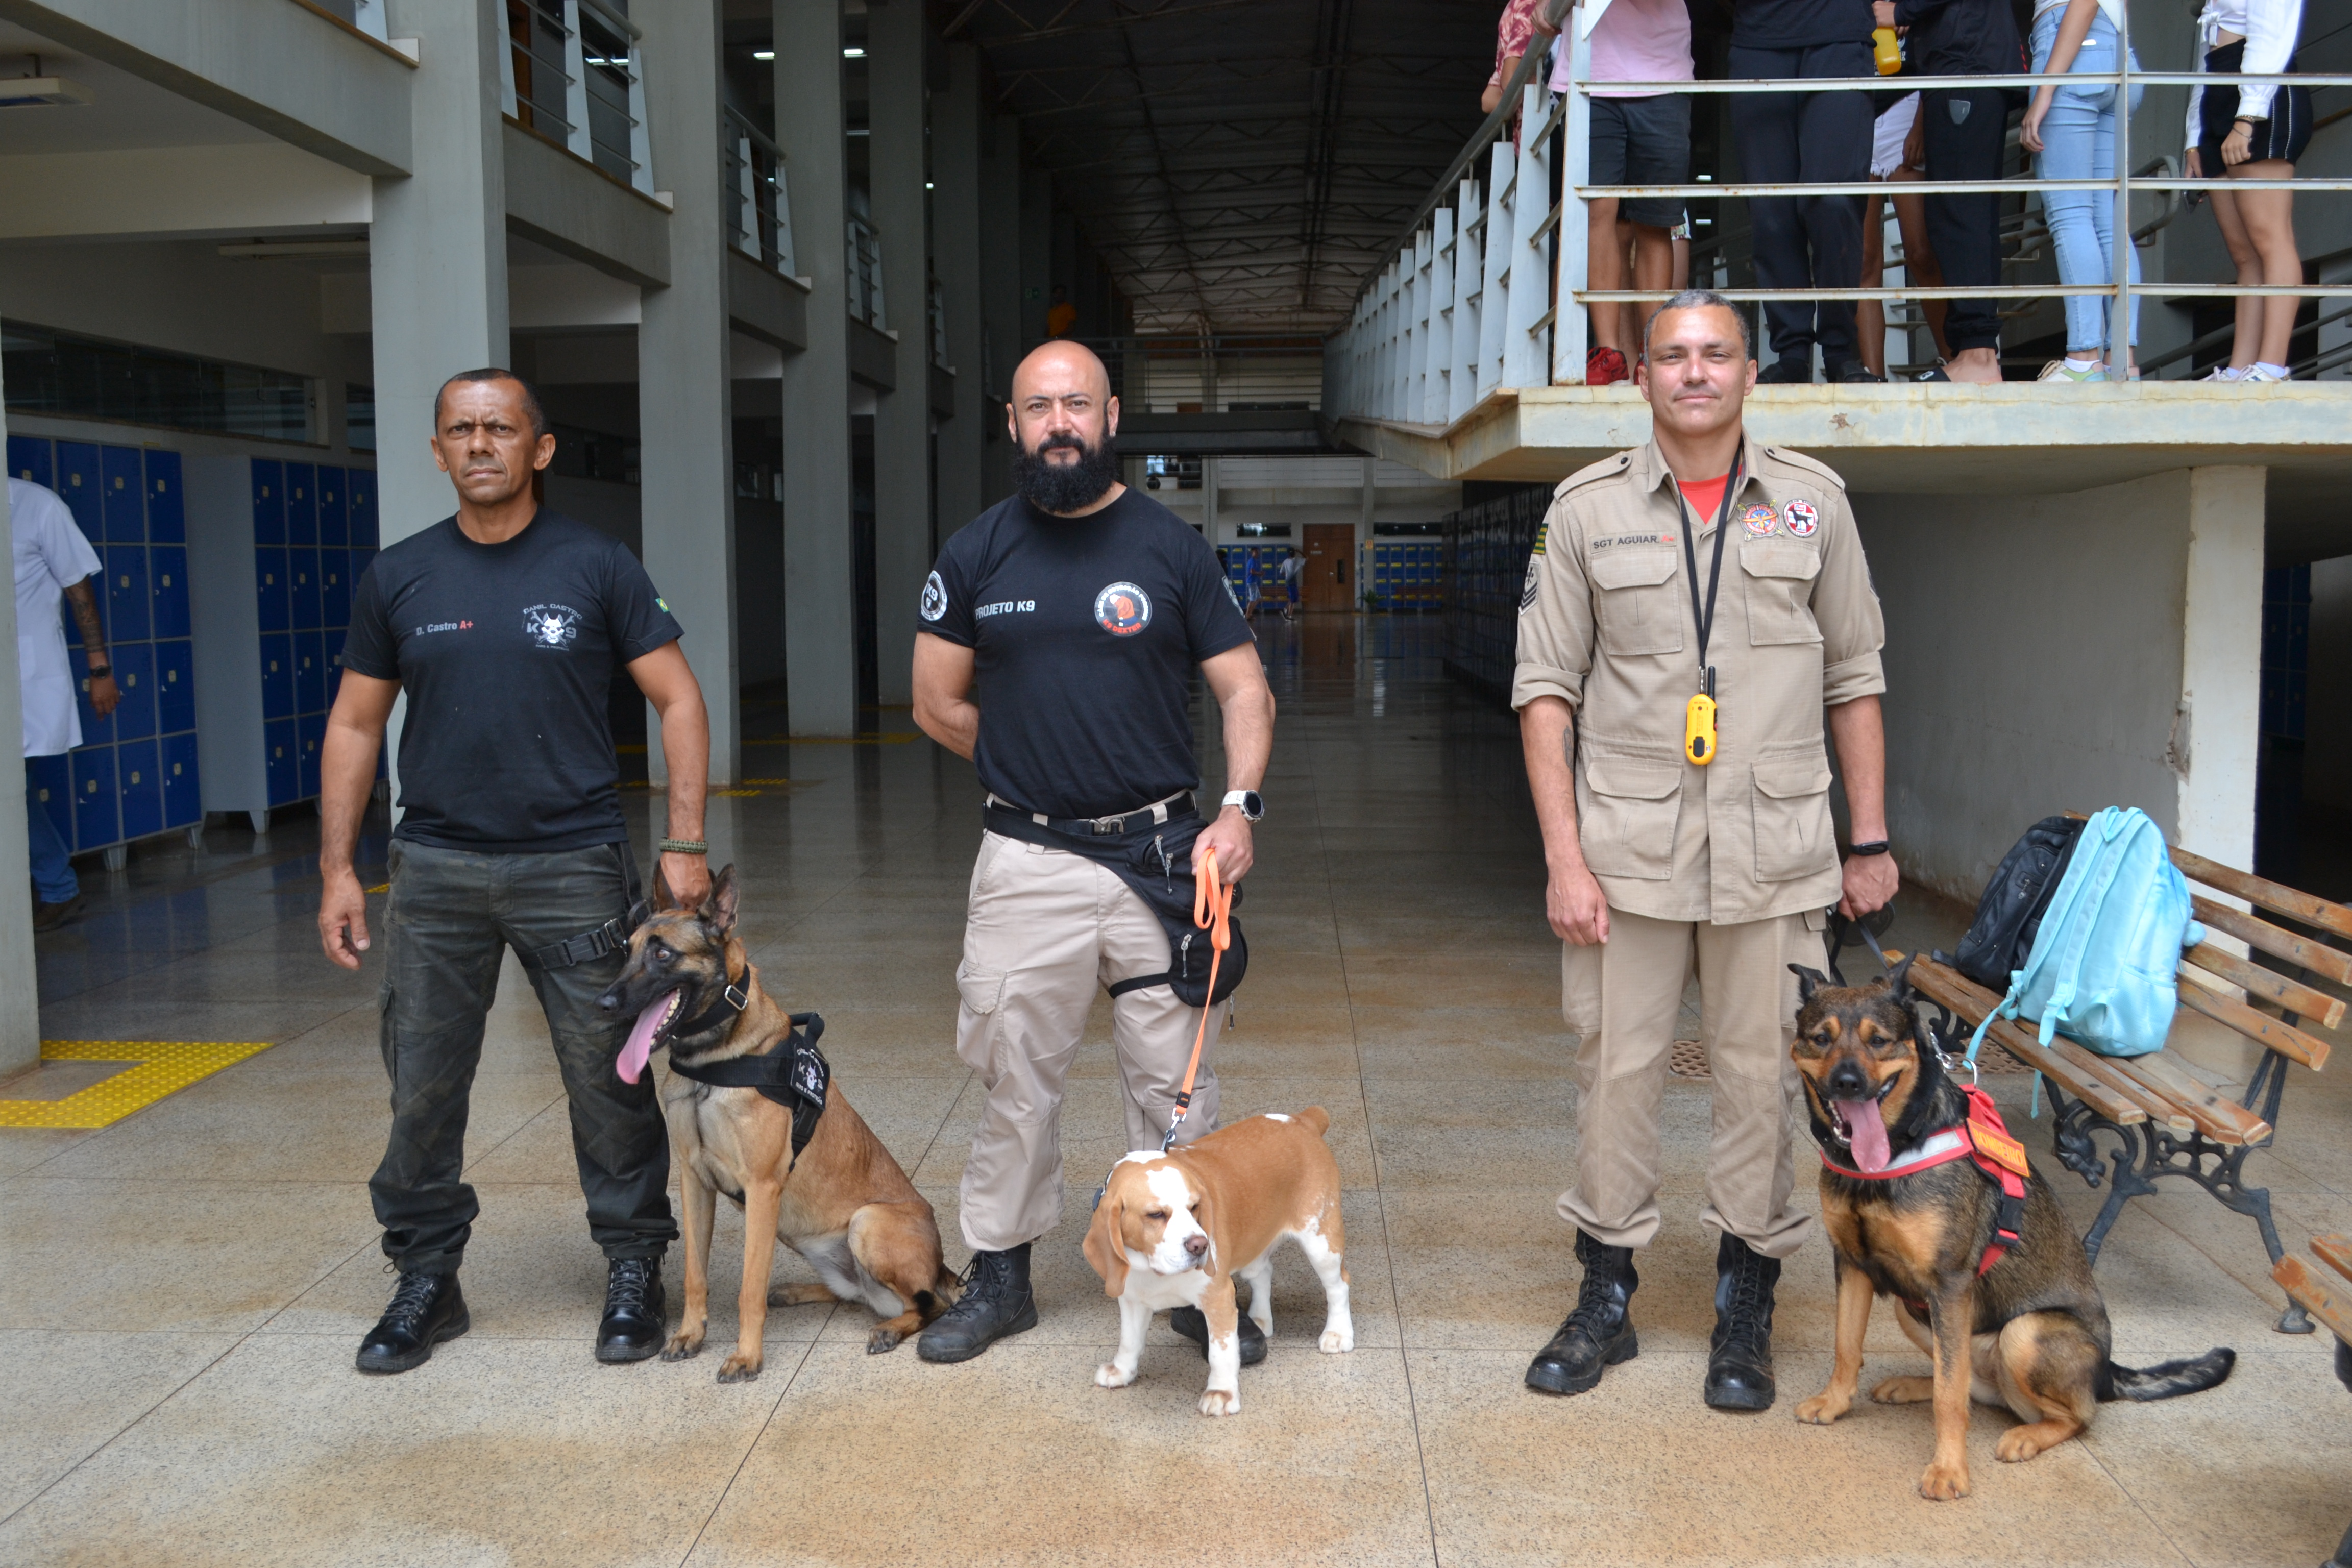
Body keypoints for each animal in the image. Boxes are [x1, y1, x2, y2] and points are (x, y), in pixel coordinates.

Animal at [602, 865, 960, 1382]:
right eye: (626, 949)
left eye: (663, 953)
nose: (605, 1002)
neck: (714, 1060)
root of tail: (943, 1266)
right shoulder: (694, 1181)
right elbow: (694, 1273)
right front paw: (690, 1333)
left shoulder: (762, 1188)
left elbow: (749, 1286)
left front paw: (747, 1355)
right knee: (858, 1295)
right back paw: (797, 1292)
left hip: (868, 1222)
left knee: (929, 1305)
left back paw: (892, 1329)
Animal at [1077, 1105, 1355, 1419]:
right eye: (1156, 1215)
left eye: (1194, 1207)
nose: (1201, 1246)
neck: (1154, 1270)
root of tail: (1302, 1119)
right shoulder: (1133, 1297)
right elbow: (1129, 1340)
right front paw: (1122, 1372)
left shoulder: (1218, 1297)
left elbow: (1221, 1353)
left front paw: (1221, 1394)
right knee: (1263, 1272)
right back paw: (1260, 1319)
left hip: (1321, 1244)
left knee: (1338, 1286)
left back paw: (1337, 1333)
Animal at [1787, 959, 2230, 1504]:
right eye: (1821, 1039)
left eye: (1879, 1041)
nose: (1848, 1084)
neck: (1891, 1152)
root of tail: (2108, 1372)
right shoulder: (1852, 1265)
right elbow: (1847, 1347)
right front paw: (1834, 1403)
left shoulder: (1950, 1285)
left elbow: (1949, 1395)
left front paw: (1949, 1469)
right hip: (1917, 1312)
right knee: (1973, 1384)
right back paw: (1913, 1384)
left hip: (2022, 1332)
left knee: (2071, 1415)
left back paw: (2027, 1436)